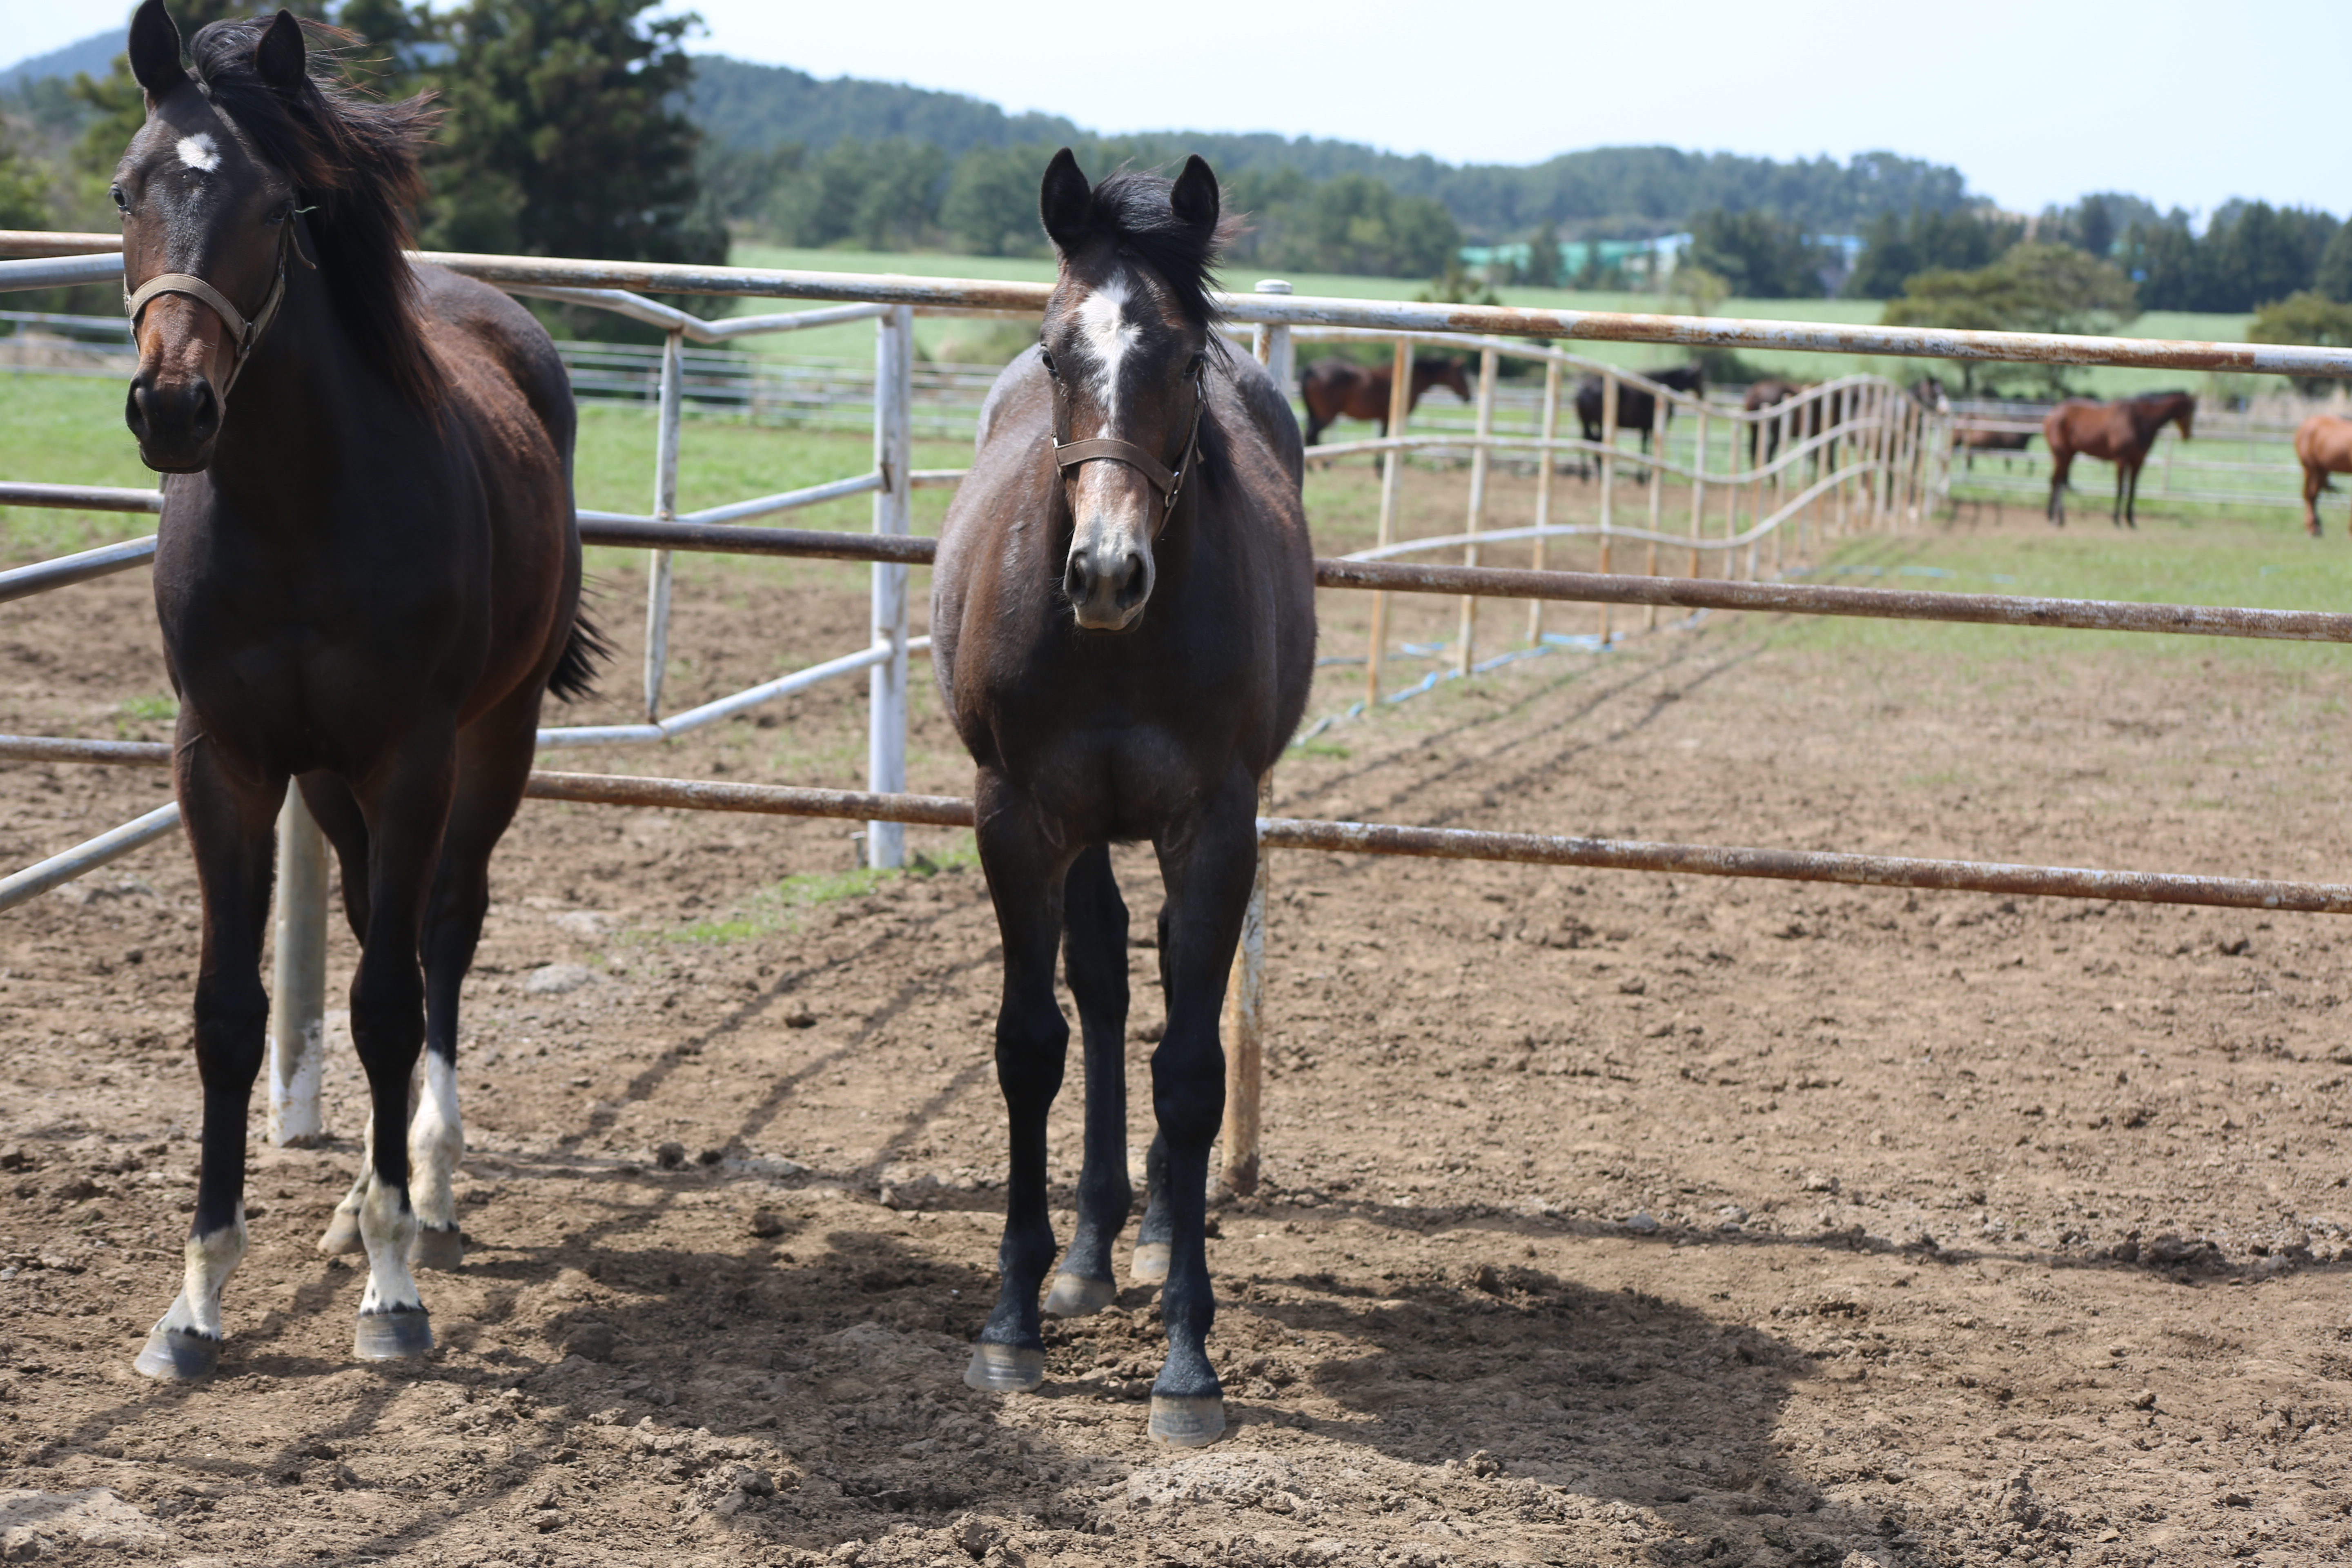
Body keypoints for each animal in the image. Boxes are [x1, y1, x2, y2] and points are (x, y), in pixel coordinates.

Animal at [114, 3, 602, 1373]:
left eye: (276, 207)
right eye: (126, 189)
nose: (173, 406)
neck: (295, 510)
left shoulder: (411, 755)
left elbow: (390, 999)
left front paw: (392, 1292)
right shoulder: (225, 760)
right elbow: (227, 1012)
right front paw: (195, 1302)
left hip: (490, 745)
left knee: (442, 929)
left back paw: (423, 1192)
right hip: (328, 783)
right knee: (372, 910)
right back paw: (352, 1202)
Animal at [927, 150, 1317, 1448]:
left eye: (1186, 360)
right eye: (1058, 353)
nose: (1104, 572)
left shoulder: (1217, 830)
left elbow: (1190, 1073)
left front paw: (1188, 1360)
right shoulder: (1014, 816)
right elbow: (1031, 1044)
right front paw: (1011, 1317)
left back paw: (1144, 1235)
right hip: (1082, 827)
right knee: (1097, 981)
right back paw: (1090, 1252)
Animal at [1307, 355, 1468, 444]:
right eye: (1462, 374)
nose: (1469, 396)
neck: (1411, 379)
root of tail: (1312, 370)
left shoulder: (1384, 418)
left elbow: (1382, 438)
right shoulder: (1389, 418)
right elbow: (1384, 438)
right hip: (1327, 415)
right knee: (1313, 435)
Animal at [2051, 395, 2192, 531]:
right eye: (2192, 410)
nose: (2188, 435)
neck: (2140, 421)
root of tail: (2052, 415)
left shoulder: (2138, 461)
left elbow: (2132, 490)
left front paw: (2131, 521)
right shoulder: (2121, 460)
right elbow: (2120, 489)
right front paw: (2117, 520)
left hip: (2068, 456)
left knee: (2059, 483)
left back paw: (2058, 518)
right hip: (2062, 456)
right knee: (2056, 482)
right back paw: (2053, 518)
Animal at [2295, 411, 2352, 541]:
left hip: (2322, 470)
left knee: (2314, 495)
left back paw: (2317, 527)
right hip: (2311, 468)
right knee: (2309, 495)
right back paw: (2312, 529)